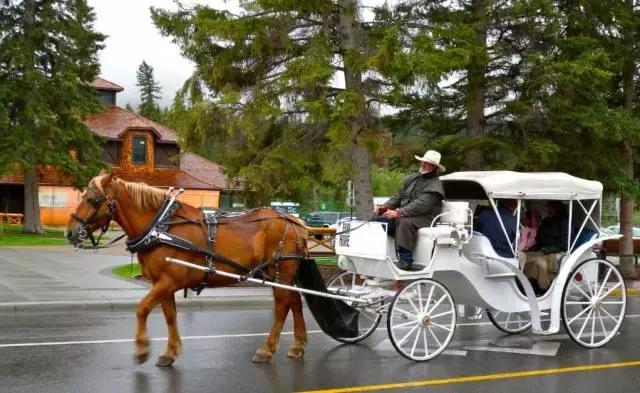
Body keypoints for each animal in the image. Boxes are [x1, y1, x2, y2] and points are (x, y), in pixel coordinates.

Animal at [66, 173, 312, 366]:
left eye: (93, 199)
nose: (70, 232)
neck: (161, 228)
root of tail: (295, 222)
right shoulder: (162, 283)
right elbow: (170, 316)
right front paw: (170, 352)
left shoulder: (169, 281)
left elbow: (142, 309)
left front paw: (142, 348)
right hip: (281, 276)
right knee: (295, 302)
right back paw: (298, 346)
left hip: (280, 273)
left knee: (282, 307)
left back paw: (267, 349)